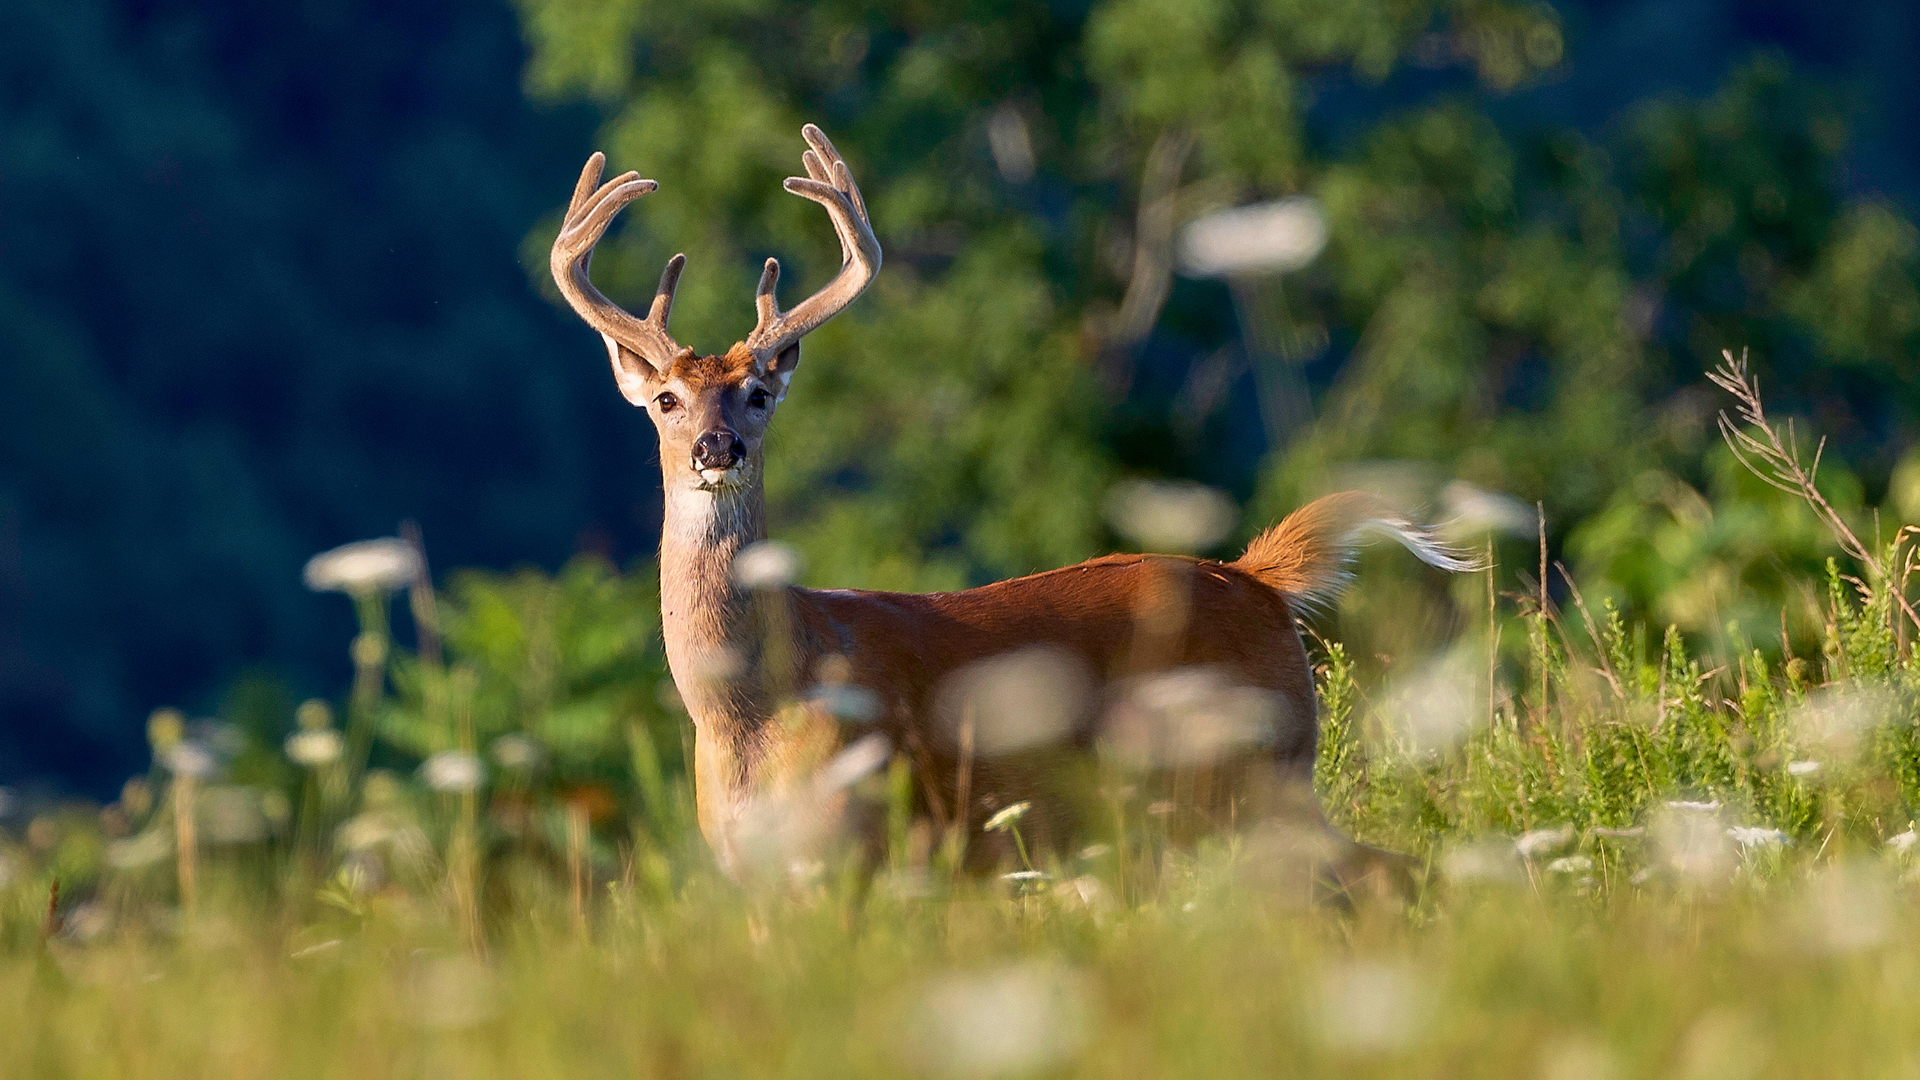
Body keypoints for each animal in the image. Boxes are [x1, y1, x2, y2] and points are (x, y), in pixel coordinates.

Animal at [550, 124, 1472, 895]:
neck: (751, 712)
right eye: (666, 400)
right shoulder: (755, 880)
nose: (717, 448)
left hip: (1255, 776)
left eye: (760, 394)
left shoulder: (871, 848)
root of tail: (1256, 578)